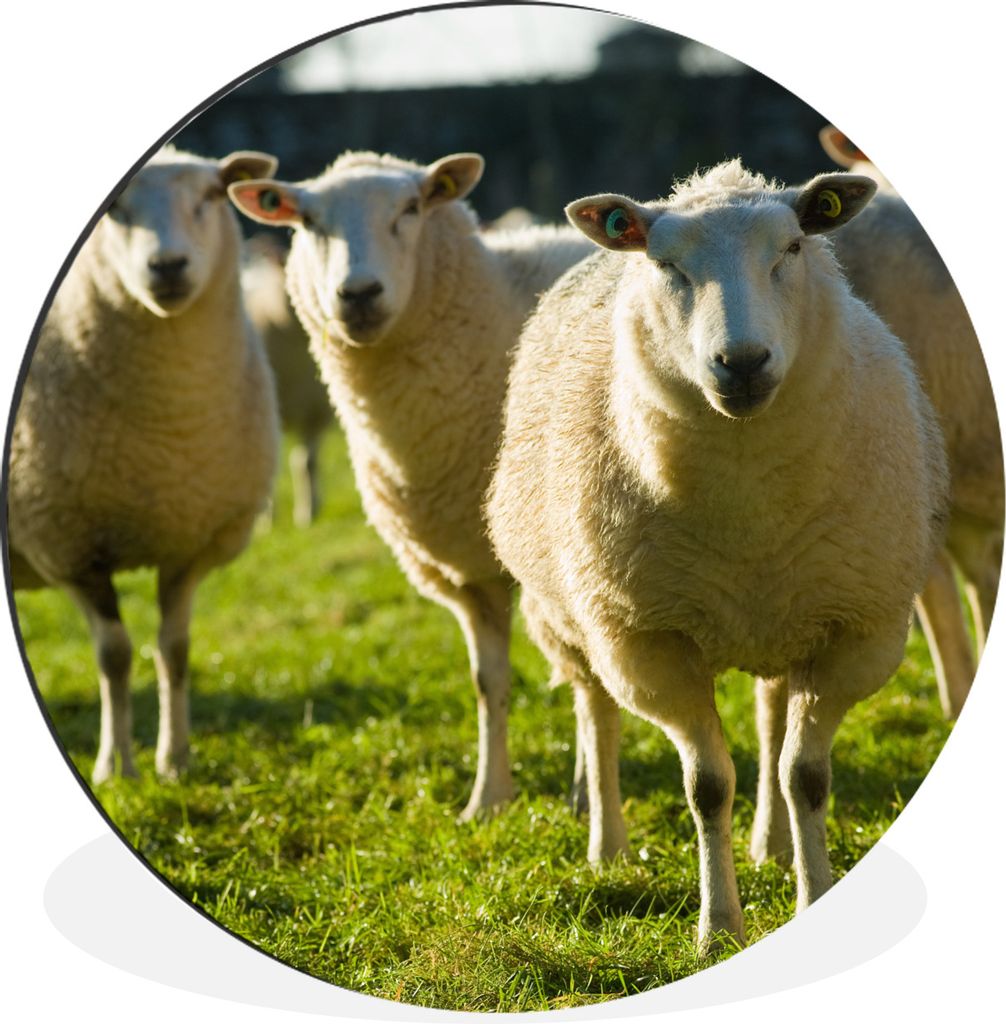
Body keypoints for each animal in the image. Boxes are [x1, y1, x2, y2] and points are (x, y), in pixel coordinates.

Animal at [8, 145, 281, 784]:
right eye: (114, 208)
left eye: (209, 196)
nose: (168, 266)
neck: (166, 437)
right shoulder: (69, 548)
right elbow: (114, 655)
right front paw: (116, 765)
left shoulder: (188, 543)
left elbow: (174, 649)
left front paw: (175, 759)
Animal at [486, 160, 949, 950]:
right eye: (666, 265)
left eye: (792, 247)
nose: (743, 362)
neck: (746, 506)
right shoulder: (650, 642)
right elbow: (706, 785)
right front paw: (718, 927)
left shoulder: (854, 630)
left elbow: (805, 777)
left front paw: (813, 896)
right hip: (573, 615)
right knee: (597, 713)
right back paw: (608, 847)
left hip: (786, 615)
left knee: (769, 720)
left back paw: (773, 845)